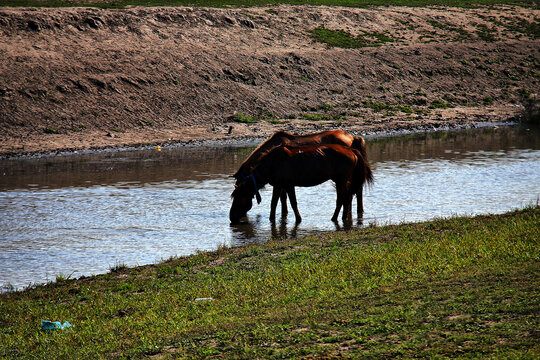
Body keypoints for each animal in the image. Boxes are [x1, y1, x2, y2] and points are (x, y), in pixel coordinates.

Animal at [232, 130, 368, 219]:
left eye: (239, 196)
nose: (231, 217)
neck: (271, 163)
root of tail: (352, 149)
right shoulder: (278, 185)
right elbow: (275, 203)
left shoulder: (287, 184)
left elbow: (291, 202)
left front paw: (297, 219)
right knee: (349, 195)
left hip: (341, 180)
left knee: (345, 197)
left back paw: (337, 218)